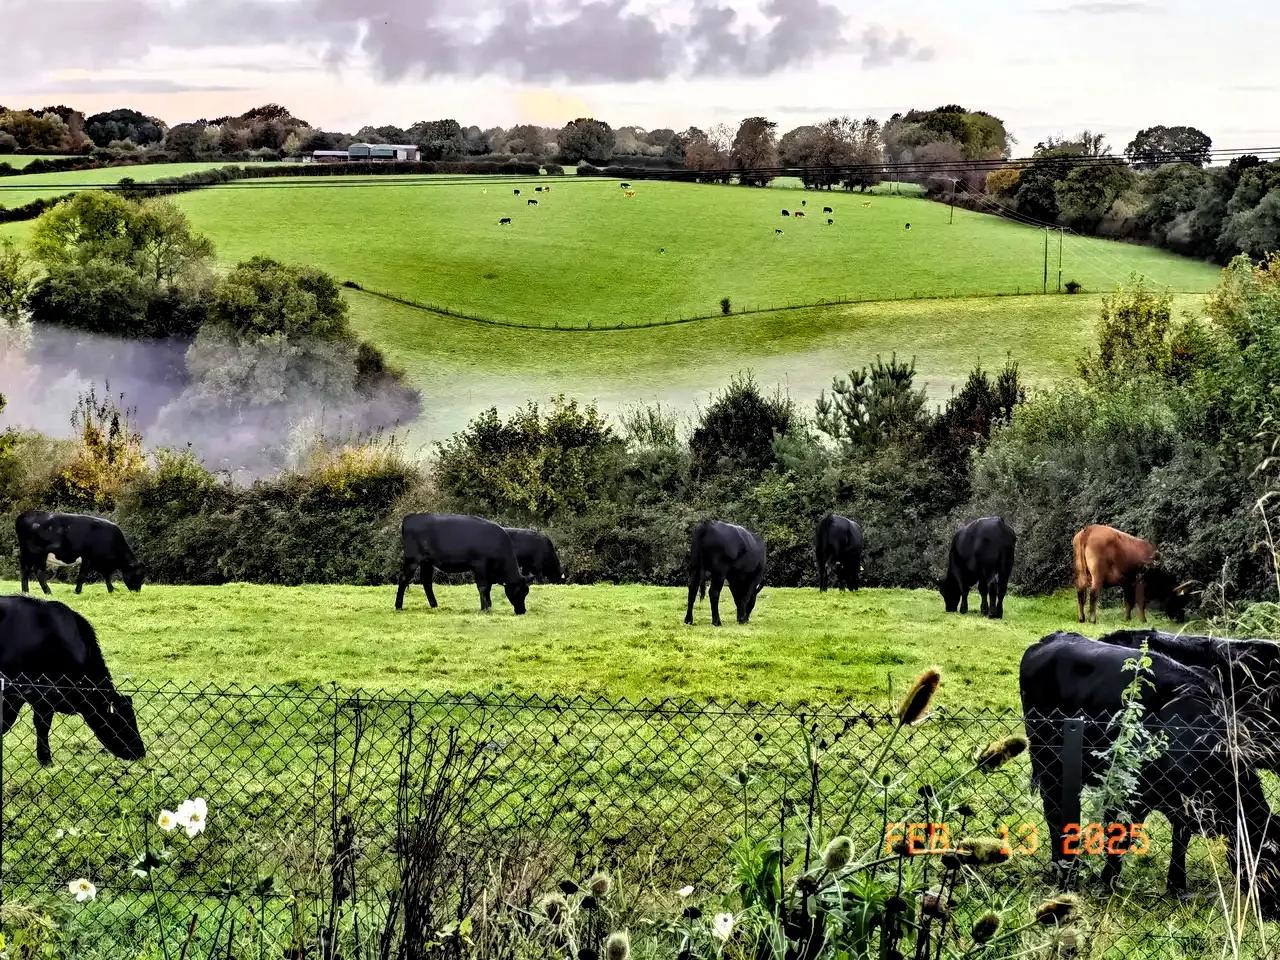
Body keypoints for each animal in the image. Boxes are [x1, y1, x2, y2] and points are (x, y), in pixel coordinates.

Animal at [16, 512, 144, 593]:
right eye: (138, 575)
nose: (137, 592)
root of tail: (24, 515)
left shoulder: (103, 563)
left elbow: (107, 576)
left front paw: (111, 590)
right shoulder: (87, 558)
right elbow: (82, 576)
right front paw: (77, 591)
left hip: (26, 553)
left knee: (25, 571)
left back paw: (25, 592)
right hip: (39, 554)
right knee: (38, 572)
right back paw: (48, 591)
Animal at [391, 519, 527, 616]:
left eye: (526, 592)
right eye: (519, 591)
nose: (522, 611)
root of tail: (410, 518)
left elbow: (487, 588)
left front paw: (487, 606)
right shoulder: (480, 566)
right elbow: (483, 587)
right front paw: (485, 609)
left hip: (426, 562)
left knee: (426, 581)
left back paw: (434, 605)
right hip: (412, 559)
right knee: (403, 579)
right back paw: (398, 606)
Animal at [1018, 632, 1280, 911]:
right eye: (1270, 859)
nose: (1274, 911)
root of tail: (1051, 639)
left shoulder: (1183, 804)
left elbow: (1180, 840)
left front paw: (1177, 886)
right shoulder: (1130, 795)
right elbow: (1120, 840)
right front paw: (1107, 885)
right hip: (1048, 762)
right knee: (1054, 813)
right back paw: (1063, 868)